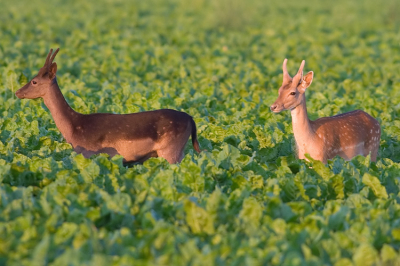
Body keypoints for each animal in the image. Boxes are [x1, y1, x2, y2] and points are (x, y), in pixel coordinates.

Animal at [15, 48, 202, 163]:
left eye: (34, 81)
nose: (17, 92)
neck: (73, 129)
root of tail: (191, 119)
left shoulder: (89, 153)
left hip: (171, 151)